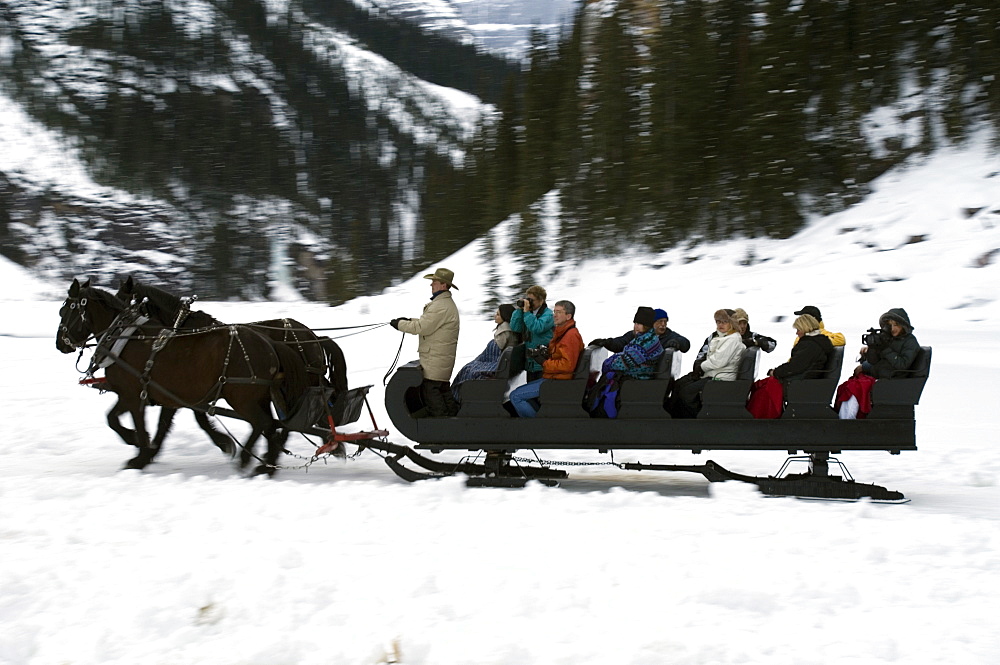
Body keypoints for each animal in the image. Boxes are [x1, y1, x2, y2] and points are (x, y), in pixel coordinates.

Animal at [58, 278, 350, 474]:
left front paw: (141, 453)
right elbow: (151, 423)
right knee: (278, 424)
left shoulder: (144, 394)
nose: (60, 344)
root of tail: (312, 336)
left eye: (65, 311)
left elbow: (145, 423)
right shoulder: (171, 396)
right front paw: (148, 450)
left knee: (273, 424)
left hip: (248, 396)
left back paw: (264, 460)